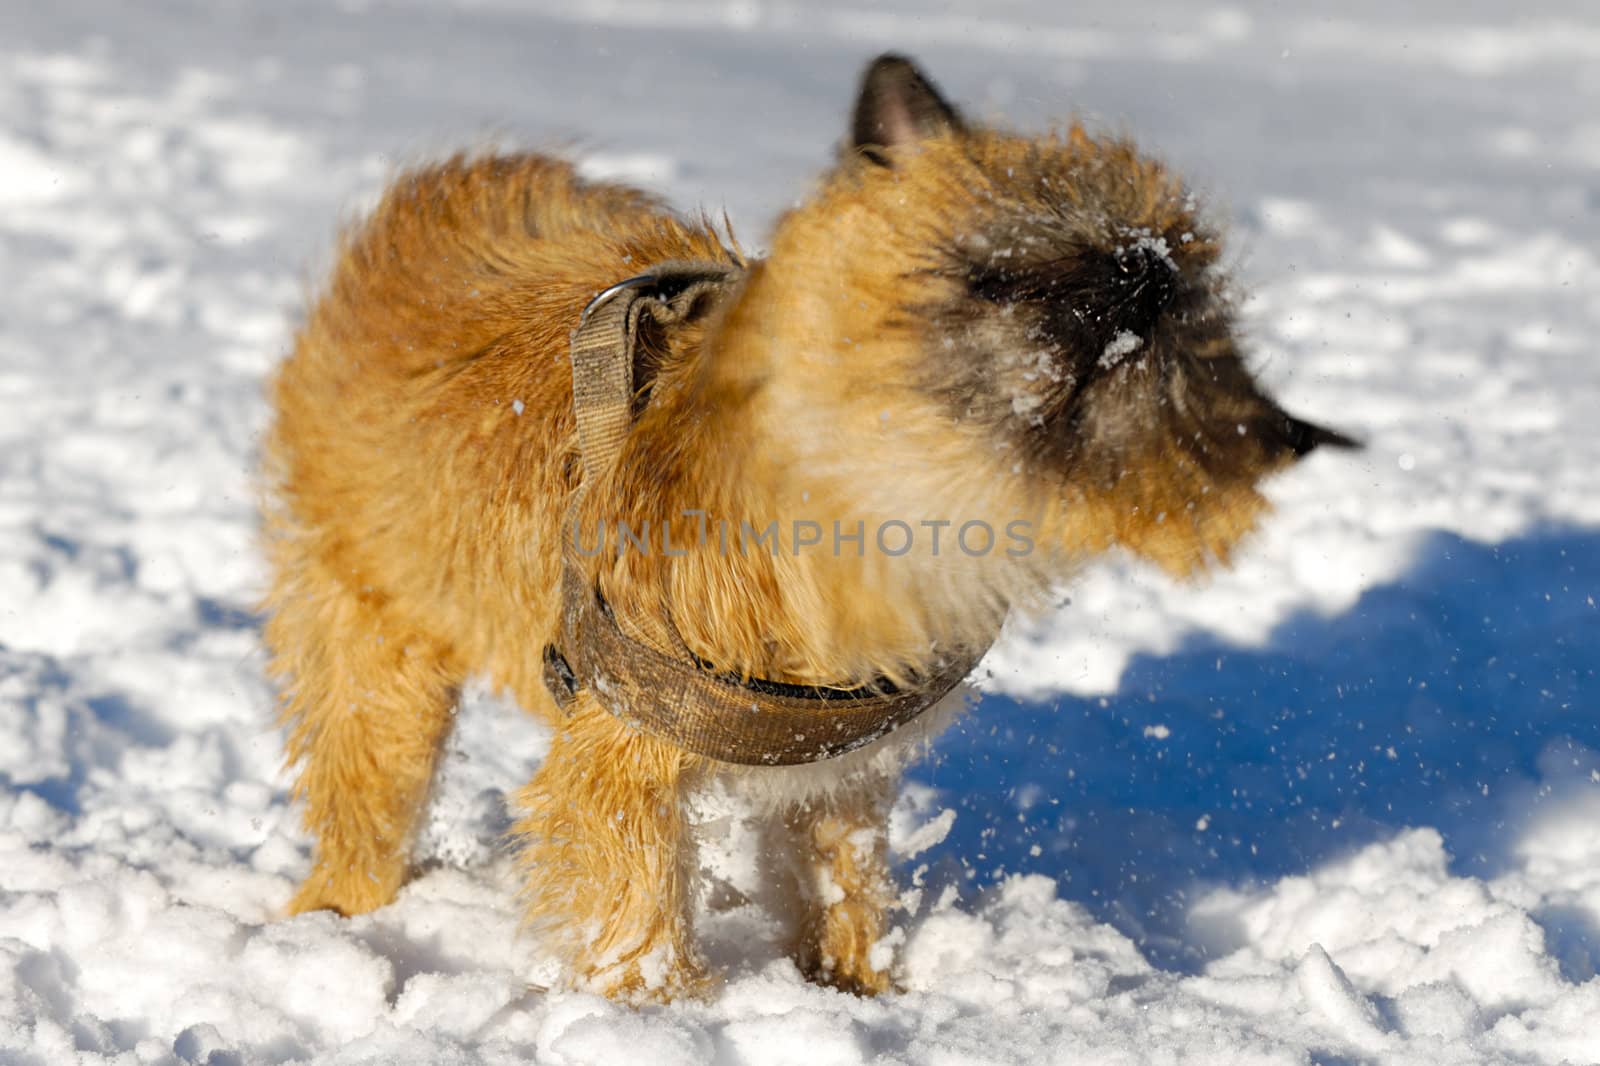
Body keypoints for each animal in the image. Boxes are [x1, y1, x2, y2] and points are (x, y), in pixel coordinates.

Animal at [262, 49, 1350, 998]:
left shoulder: (838, 771)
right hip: (382, 671)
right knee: (366, 801)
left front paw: (856, 991)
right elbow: (639, 920)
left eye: (1178, 308)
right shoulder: (623, 762)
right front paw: (667, 1020)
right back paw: (338, 917)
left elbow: (842, 884)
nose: (1131, 286)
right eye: (999, 272)